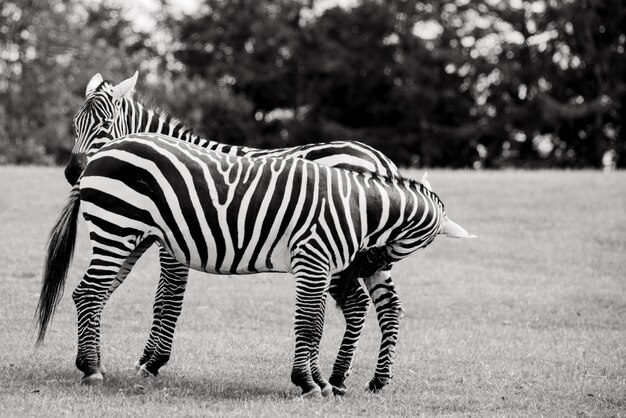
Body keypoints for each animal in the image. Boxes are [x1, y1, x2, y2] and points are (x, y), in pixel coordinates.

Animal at [35, 132, 472, 396]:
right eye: (421, 244)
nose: (357, 269)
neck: (359, 207)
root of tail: (105, 153)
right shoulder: (313, 259)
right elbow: (309, 324)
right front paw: (309, 383)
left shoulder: (316, 267)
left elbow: (314, 325)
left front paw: (317, 382)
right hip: (117, 227)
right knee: (91, 293)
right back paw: (92, 368)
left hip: (128, 236)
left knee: (89, 294)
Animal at [63, 70, 404, 394]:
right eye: (75, 124)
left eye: (105, 125)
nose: (73, 172)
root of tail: (380, 160)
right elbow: (148, 296)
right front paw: (145, 358)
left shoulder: (172, 241)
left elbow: (167, 298)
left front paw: (152, 361)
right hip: (374, 257)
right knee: (389, 307)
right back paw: (375, 380)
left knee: (358, 305)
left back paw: (337, 377)